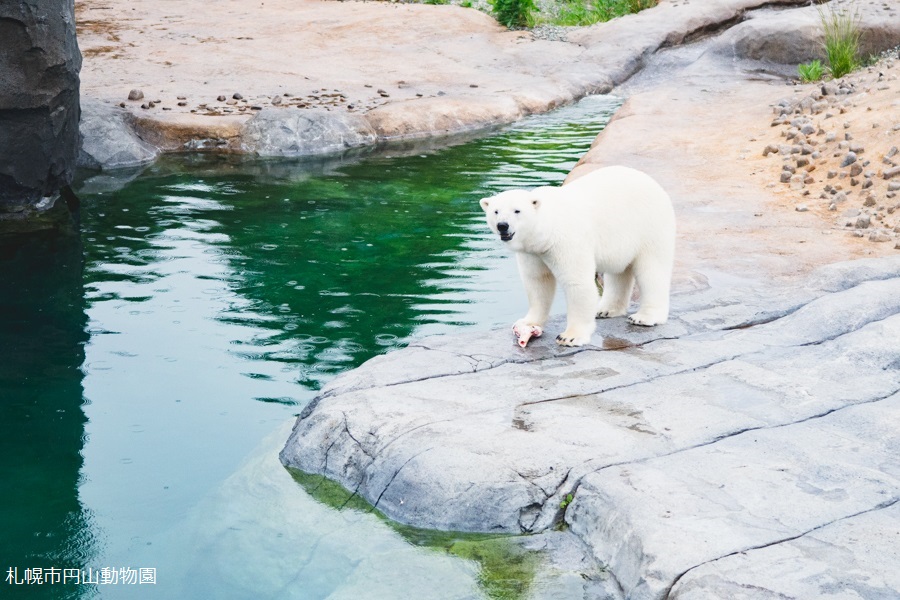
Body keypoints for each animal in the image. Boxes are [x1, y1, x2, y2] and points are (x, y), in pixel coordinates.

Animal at [482, 166, 672, 350]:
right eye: (495, 211)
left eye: (517, 211)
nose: (502, 226)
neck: (548, 228)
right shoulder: (533, 252)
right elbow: (537, 282)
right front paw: (527, 322)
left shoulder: (566, 241)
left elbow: (576, 282)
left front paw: (570, 337)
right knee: (618, 271)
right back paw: (606, 310)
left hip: (649, 225)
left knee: (651, 270)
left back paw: (644, 317)